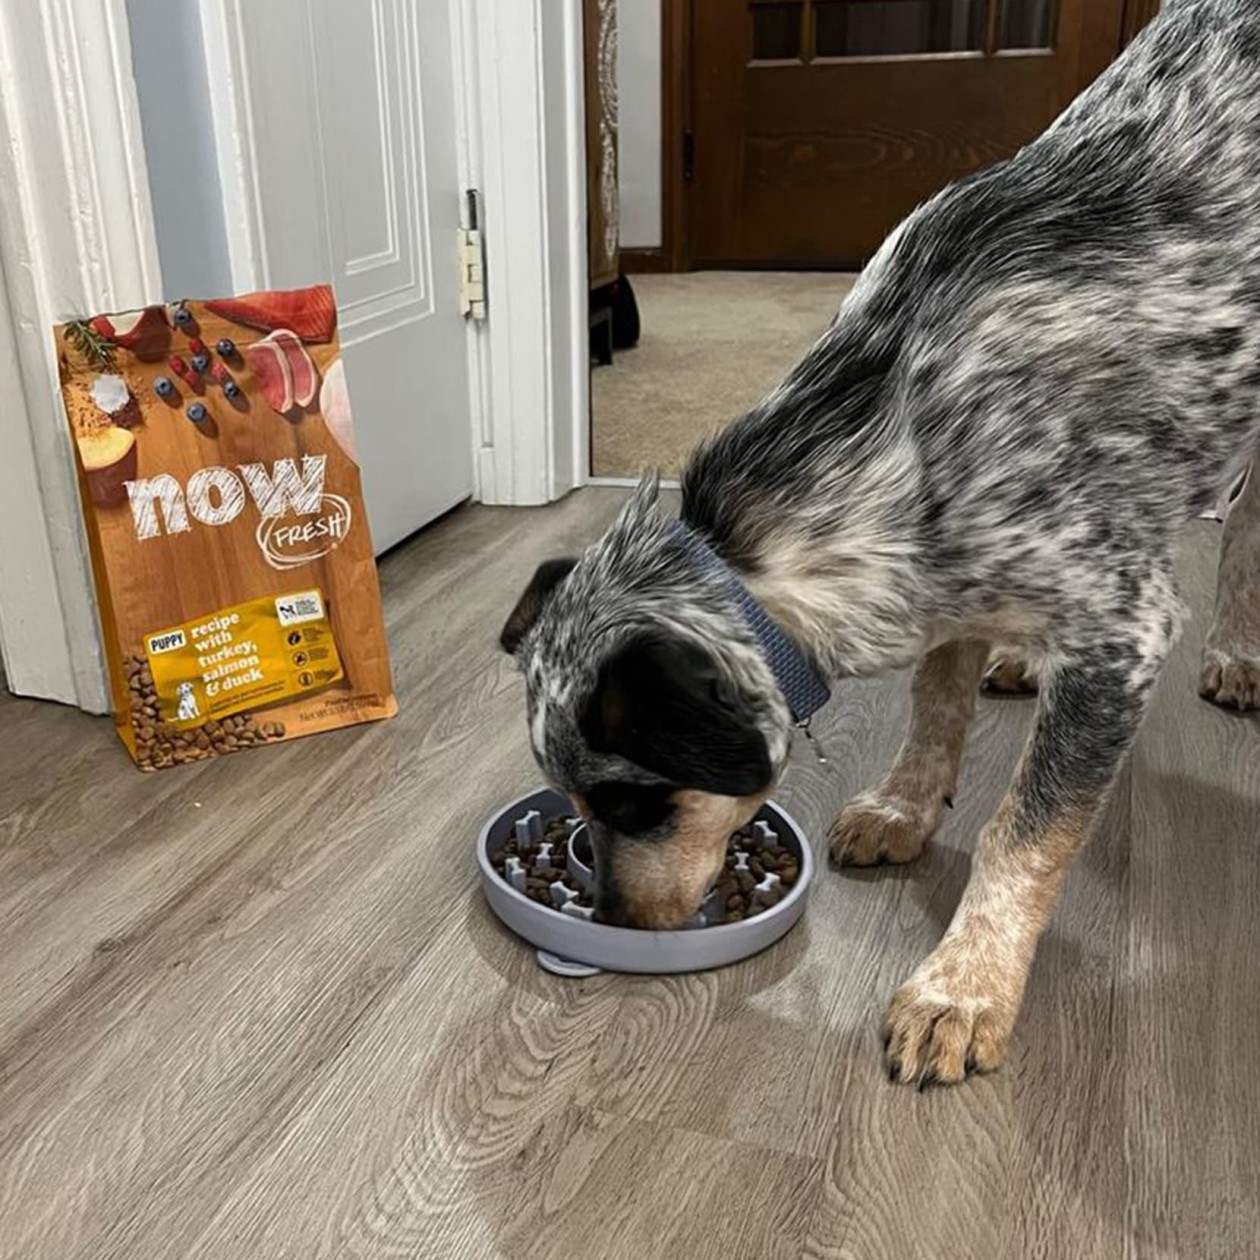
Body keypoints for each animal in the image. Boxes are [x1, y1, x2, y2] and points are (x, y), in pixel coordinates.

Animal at [501, 0, 1260, 1083]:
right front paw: (906, 805)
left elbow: (1025, 832)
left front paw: (964, 986)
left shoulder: (1125, 628)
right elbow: (937, 704)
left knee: (1245, 526)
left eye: (634, 806)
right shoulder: (947, 574)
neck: (890, 415)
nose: (609, 924)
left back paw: (1236, 650)